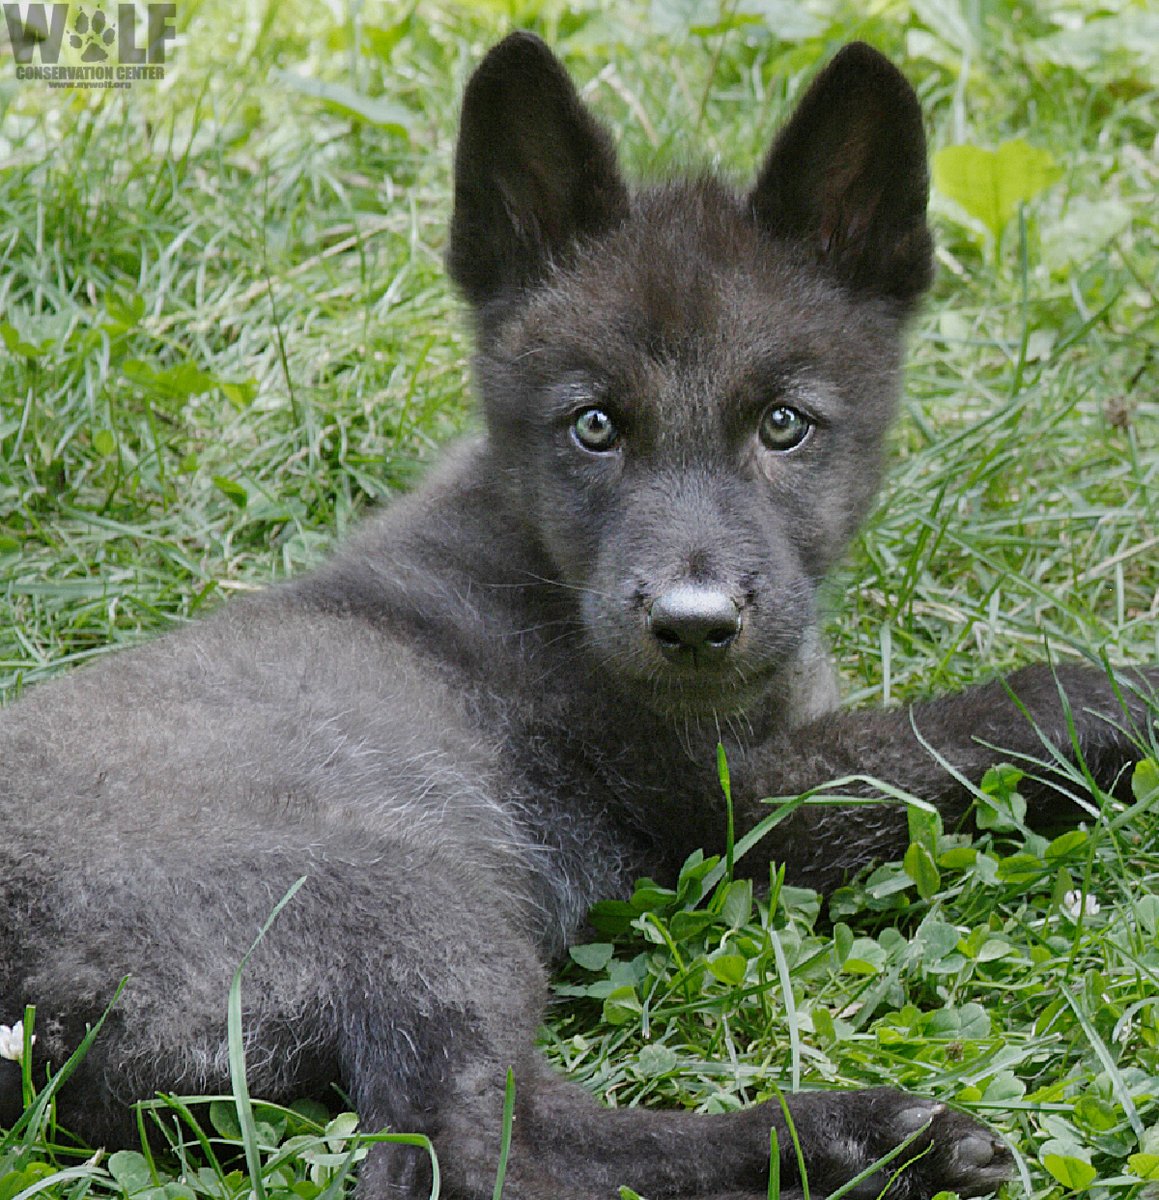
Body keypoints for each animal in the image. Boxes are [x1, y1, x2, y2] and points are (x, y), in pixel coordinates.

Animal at [0, 31, 1154, 1200]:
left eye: (783, 424)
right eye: (593, 425)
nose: (692, 628)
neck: (540, 569)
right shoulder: (743, 802)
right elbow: (1011, 709)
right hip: (410, 890)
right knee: (485, 1143)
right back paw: (859, 1138)